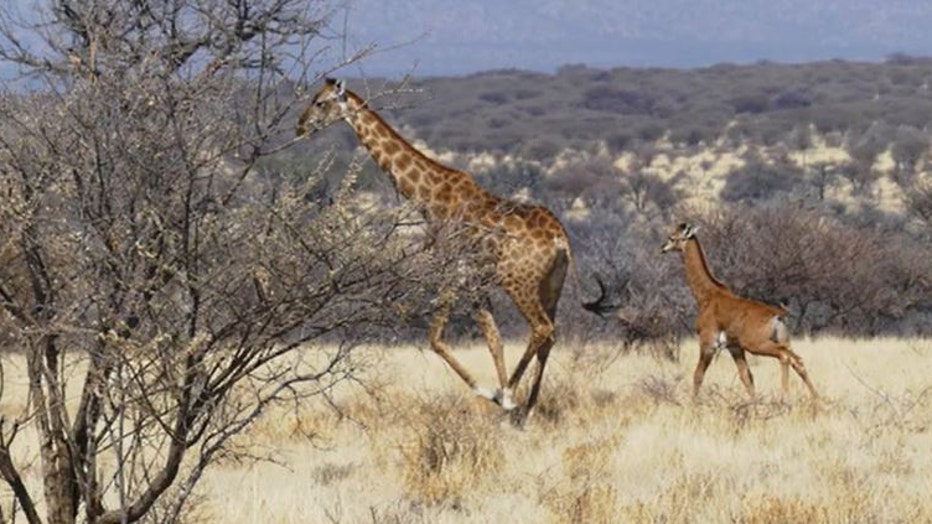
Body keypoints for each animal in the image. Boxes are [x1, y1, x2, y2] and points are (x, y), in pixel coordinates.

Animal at [297, 78, 573, 417]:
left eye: (320, 102)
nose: (300, 126)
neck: (429, 196)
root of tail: (560, 239)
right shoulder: (474, 280)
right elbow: (494, 339)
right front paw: (502, 406)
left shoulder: (450, 270)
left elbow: (435, 338)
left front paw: (497, 394)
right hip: (551, 285)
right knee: (551, 334)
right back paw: (527, 409)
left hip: (517, 281)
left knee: (542, 328)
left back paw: (512, 395)